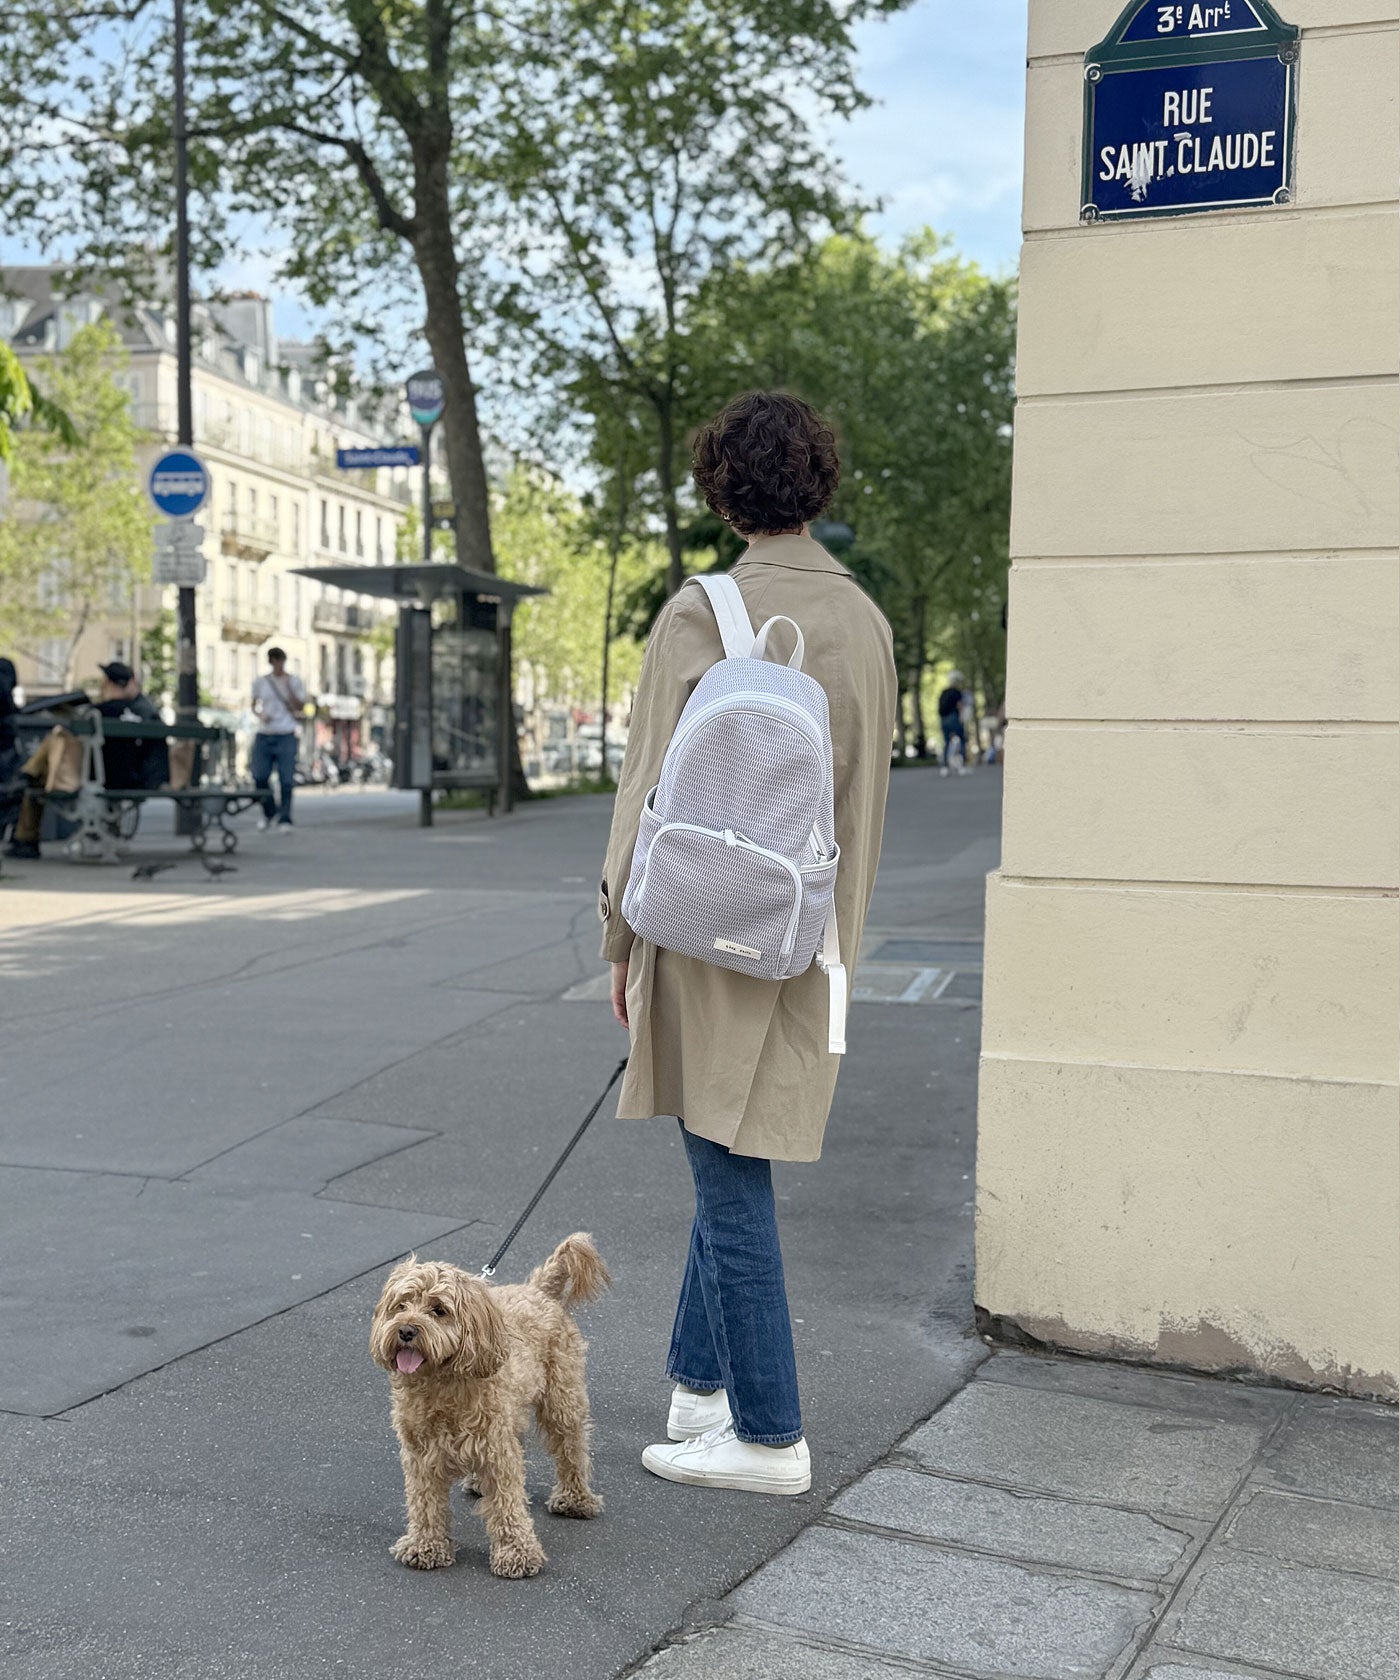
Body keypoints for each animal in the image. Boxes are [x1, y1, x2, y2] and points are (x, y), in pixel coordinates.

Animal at [368, 1236, 608, 1572]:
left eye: (439, 1310)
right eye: (400, 1306)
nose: (405, 1330)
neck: (441, 1382)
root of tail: (539, 1290)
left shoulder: (497, 1449)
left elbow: (508, 1502)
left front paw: (517, 1553)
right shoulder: (420, 1454)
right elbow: (424, 1502)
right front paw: (426, 1546)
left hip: (563, 1399)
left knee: (571, 1447)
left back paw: (576, 1499)